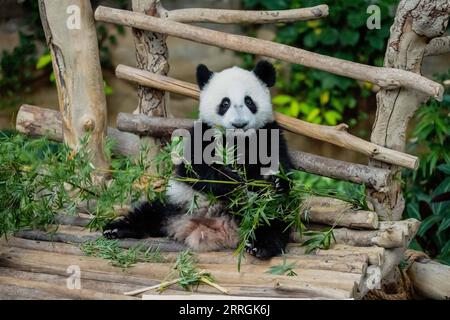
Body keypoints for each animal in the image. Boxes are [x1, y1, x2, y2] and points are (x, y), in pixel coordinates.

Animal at [105, 60, 296, 260]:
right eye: (225, 102)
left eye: (249, 101)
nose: (239, 124)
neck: (236, 140)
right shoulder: (201, 133)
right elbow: (194, 168)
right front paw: (232, 181)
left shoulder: (268, 133)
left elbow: (280, 163)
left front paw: (277, 180)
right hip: (177, 201)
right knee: (150, 212)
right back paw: (117, 228)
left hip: (264, 209)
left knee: (273, 219)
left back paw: (261, 245)